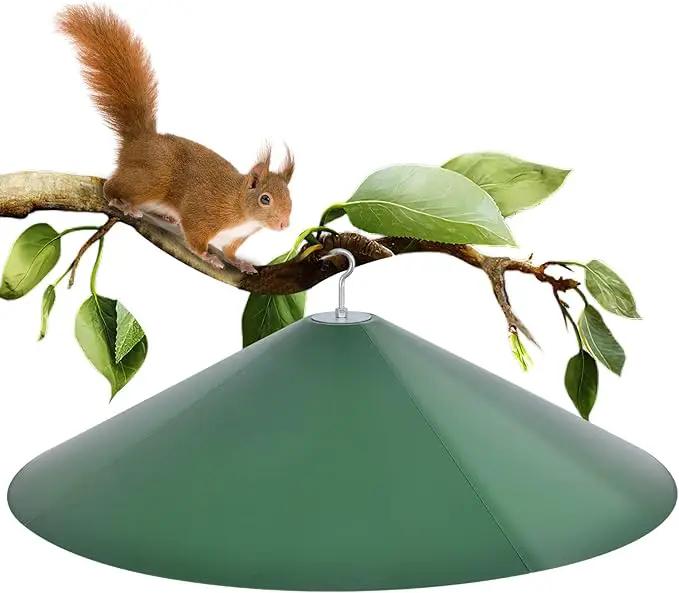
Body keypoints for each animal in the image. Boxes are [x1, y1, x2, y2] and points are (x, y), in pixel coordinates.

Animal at [56, 5, 293, 274]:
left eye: (290, 195)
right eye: (265, 199)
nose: (285, 224)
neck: (240, 206)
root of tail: (140, 139)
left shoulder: (235, 238)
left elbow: (231, 253)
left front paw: (240, 263)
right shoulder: (202, 214)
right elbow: (195, 237)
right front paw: (208, 257)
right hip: (150, 180)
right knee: (110, 187)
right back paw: (123, 203)